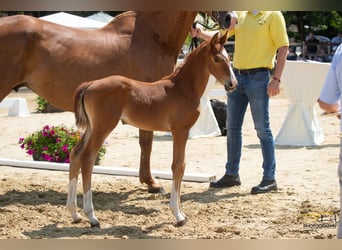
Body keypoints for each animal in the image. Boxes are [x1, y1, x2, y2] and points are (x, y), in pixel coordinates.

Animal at [68, 31, 236, 227]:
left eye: (228, 58)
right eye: (217, 59)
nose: (232, 84)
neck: (183, 89)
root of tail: (90, 84)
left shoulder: (181, 132)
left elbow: (180, 166)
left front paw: (181, 213)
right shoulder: (180, 131)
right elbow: (178, 166)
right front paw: (178, 215)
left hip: (92, 128)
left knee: (75, 154)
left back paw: (75, 213)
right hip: (103, 128)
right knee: (87, 158)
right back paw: (92, 217)